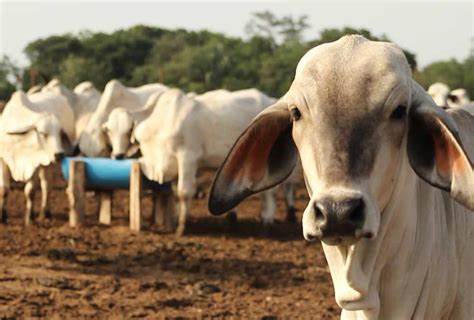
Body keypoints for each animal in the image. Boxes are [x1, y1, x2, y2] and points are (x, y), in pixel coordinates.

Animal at [0, 90, 75, 225]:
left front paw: (29, 219)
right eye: (43, 133)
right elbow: (4, 190)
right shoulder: (3, 160)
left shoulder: (33, 164)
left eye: (60, 133)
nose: (59, 155)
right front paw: (2, 218)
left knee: (46, 186)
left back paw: (45, 213)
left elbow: (30, 191)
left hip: (48, 163)